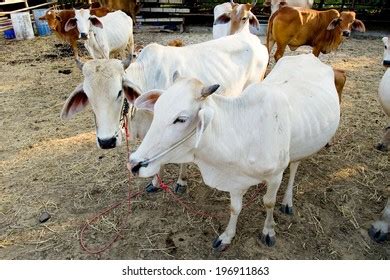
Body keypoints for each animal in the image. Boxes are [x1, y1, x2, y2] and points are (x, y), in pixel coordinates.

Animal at [61, 31, 268, 192]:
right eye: (88, 95)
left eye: (119, 92)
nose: (106, 142)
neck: (146, 77)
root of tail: (252, 38)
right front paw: (154, 181)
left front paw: (181, 181)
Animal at [129, 53, 340, 250]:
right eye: (157, 109)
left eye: (180, 119)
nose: (133, 164)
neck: (240, 132)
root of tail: (308, 55)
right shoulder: (235, 181)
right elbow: (235, 208)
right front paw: (227, 236)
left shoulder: (275, 176)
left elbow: (269, 202)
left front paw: (269, 231)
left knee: (295, 167)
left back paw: (287, 201)